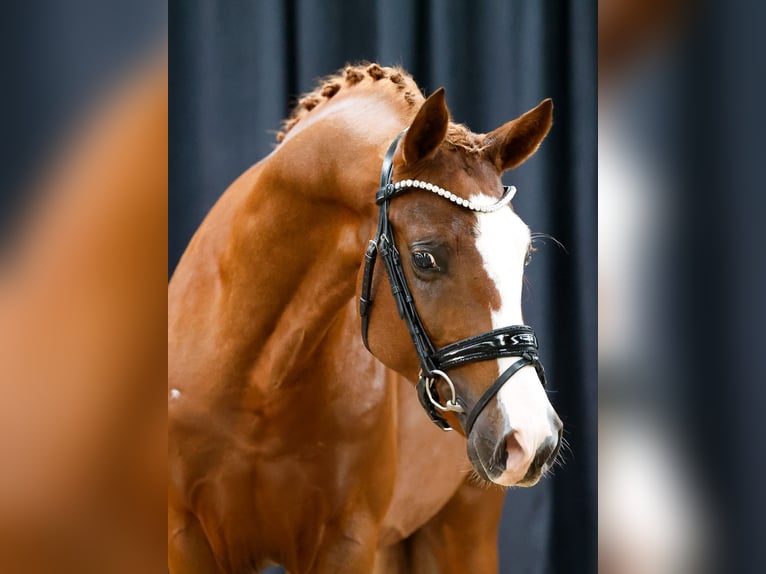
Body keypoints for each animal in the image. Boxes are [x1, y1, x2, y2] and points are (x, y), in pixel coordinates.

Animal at [170, 64, 564, 574]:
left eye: (525, 253)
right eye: (425, 257)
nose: (532, 438)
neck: (257, 383)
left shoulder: (349, 541)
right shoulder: (187, 538)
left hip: (461, 532)